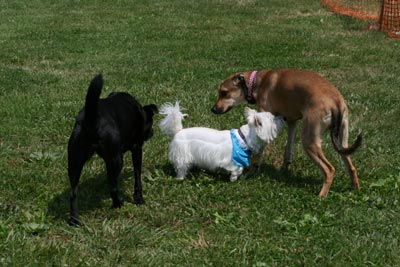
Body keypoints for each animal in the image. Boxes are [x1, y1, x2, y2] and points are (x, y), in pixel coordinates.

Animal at [67, 75, 158, 226]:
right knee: (113, 187)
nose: (152, 133)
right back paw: (117, 204)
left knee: (73, 194)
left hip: (75, 161)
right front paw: (138, 198)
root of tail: (91, 120)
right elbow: (137, 177)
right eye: (150, 124)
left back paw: (75, 220)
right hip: (117, 160)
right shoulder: (136, 149)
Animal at [212, 69, 362, 198]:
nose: (213, 109)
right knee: (351, 166)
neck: (257, 81)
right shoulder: (291, 122)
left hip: (309, 140)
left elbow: (259, 154)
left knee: (329, 169)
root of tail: (336, 101)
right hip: (342, 140)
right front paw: (283, 169)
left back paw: (321, 196)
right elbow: (288, 149)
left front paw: (252, 171)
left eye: (224, 92)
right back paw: (356, 188)